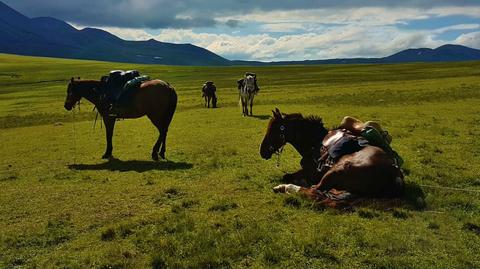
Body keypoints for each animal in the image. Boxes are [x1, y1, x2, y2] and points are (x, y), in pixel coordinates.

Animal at [260, 108, 404, 206]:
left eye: (273, 129)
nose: (262, 151)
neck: (316, 142)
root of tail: (394, 173)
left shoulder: (312, 172)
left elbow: (289, 177)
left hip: (336, 170)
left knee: (314, 190)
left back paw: (284, 187)